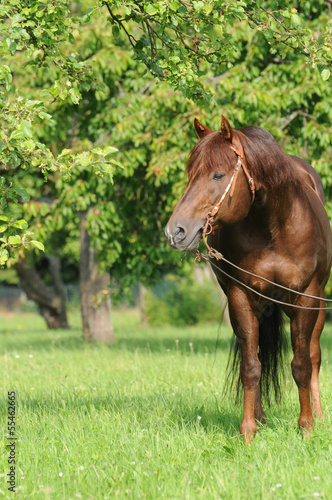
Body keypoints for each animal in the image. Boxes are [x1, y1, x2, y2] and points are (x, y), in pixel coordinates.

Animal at [166, 116, 332, 442]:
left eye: (218, 175)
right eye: (190, 174)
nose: (175, 231)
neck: (273, 225)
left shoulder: (306, 298)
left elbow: (302, 364)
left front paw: (306, 426)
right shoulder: (240, 297)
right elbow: (251, 367)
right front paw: (248, 430)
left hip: (317, 304)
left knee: (315, 355)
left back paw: (319, 415)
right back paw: (260, 415)